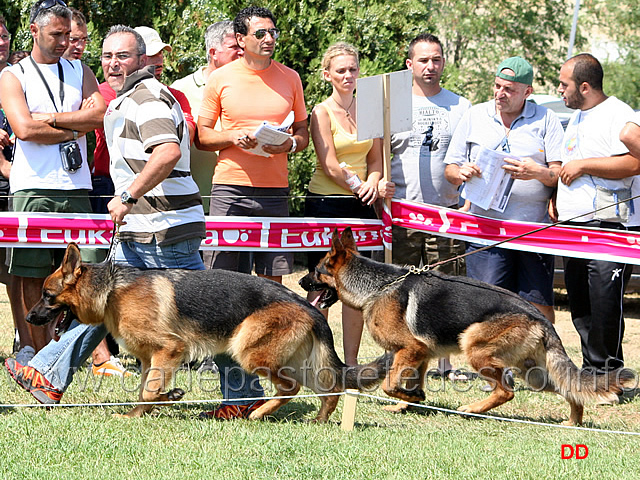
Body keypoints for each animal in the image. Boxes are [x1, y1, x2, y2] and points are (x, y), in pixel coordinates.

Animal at [25, 244, 390, 420]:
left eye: (47, 296)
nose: (28, 317)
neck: (112, 290)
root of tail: (307, 305)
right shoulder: (150, 360)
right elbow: (144, 391)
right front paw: (136, 415)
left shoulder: (170, 350)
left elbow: (149, 392)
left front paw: (168, 398)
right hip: (296, 360)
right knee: (330, 388)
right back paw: (319, 421)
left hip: (249, 351)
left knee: (292, 388)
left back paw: (258, 413)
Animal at [302, 228, 636, 424]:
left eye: (316, 271)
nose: (303, 283)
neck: (377, 286)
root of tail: (538, 317)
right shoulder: (420, 354)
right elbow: (408, 382)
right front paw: (408, 403)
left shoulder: (410, 348)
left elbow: (389, 385)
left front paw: (411, 398)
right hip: (537, 373)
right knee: (571, 390)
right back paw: (572, 423)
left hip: (474, 345)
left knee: (506, 390)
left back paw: (473, 410)